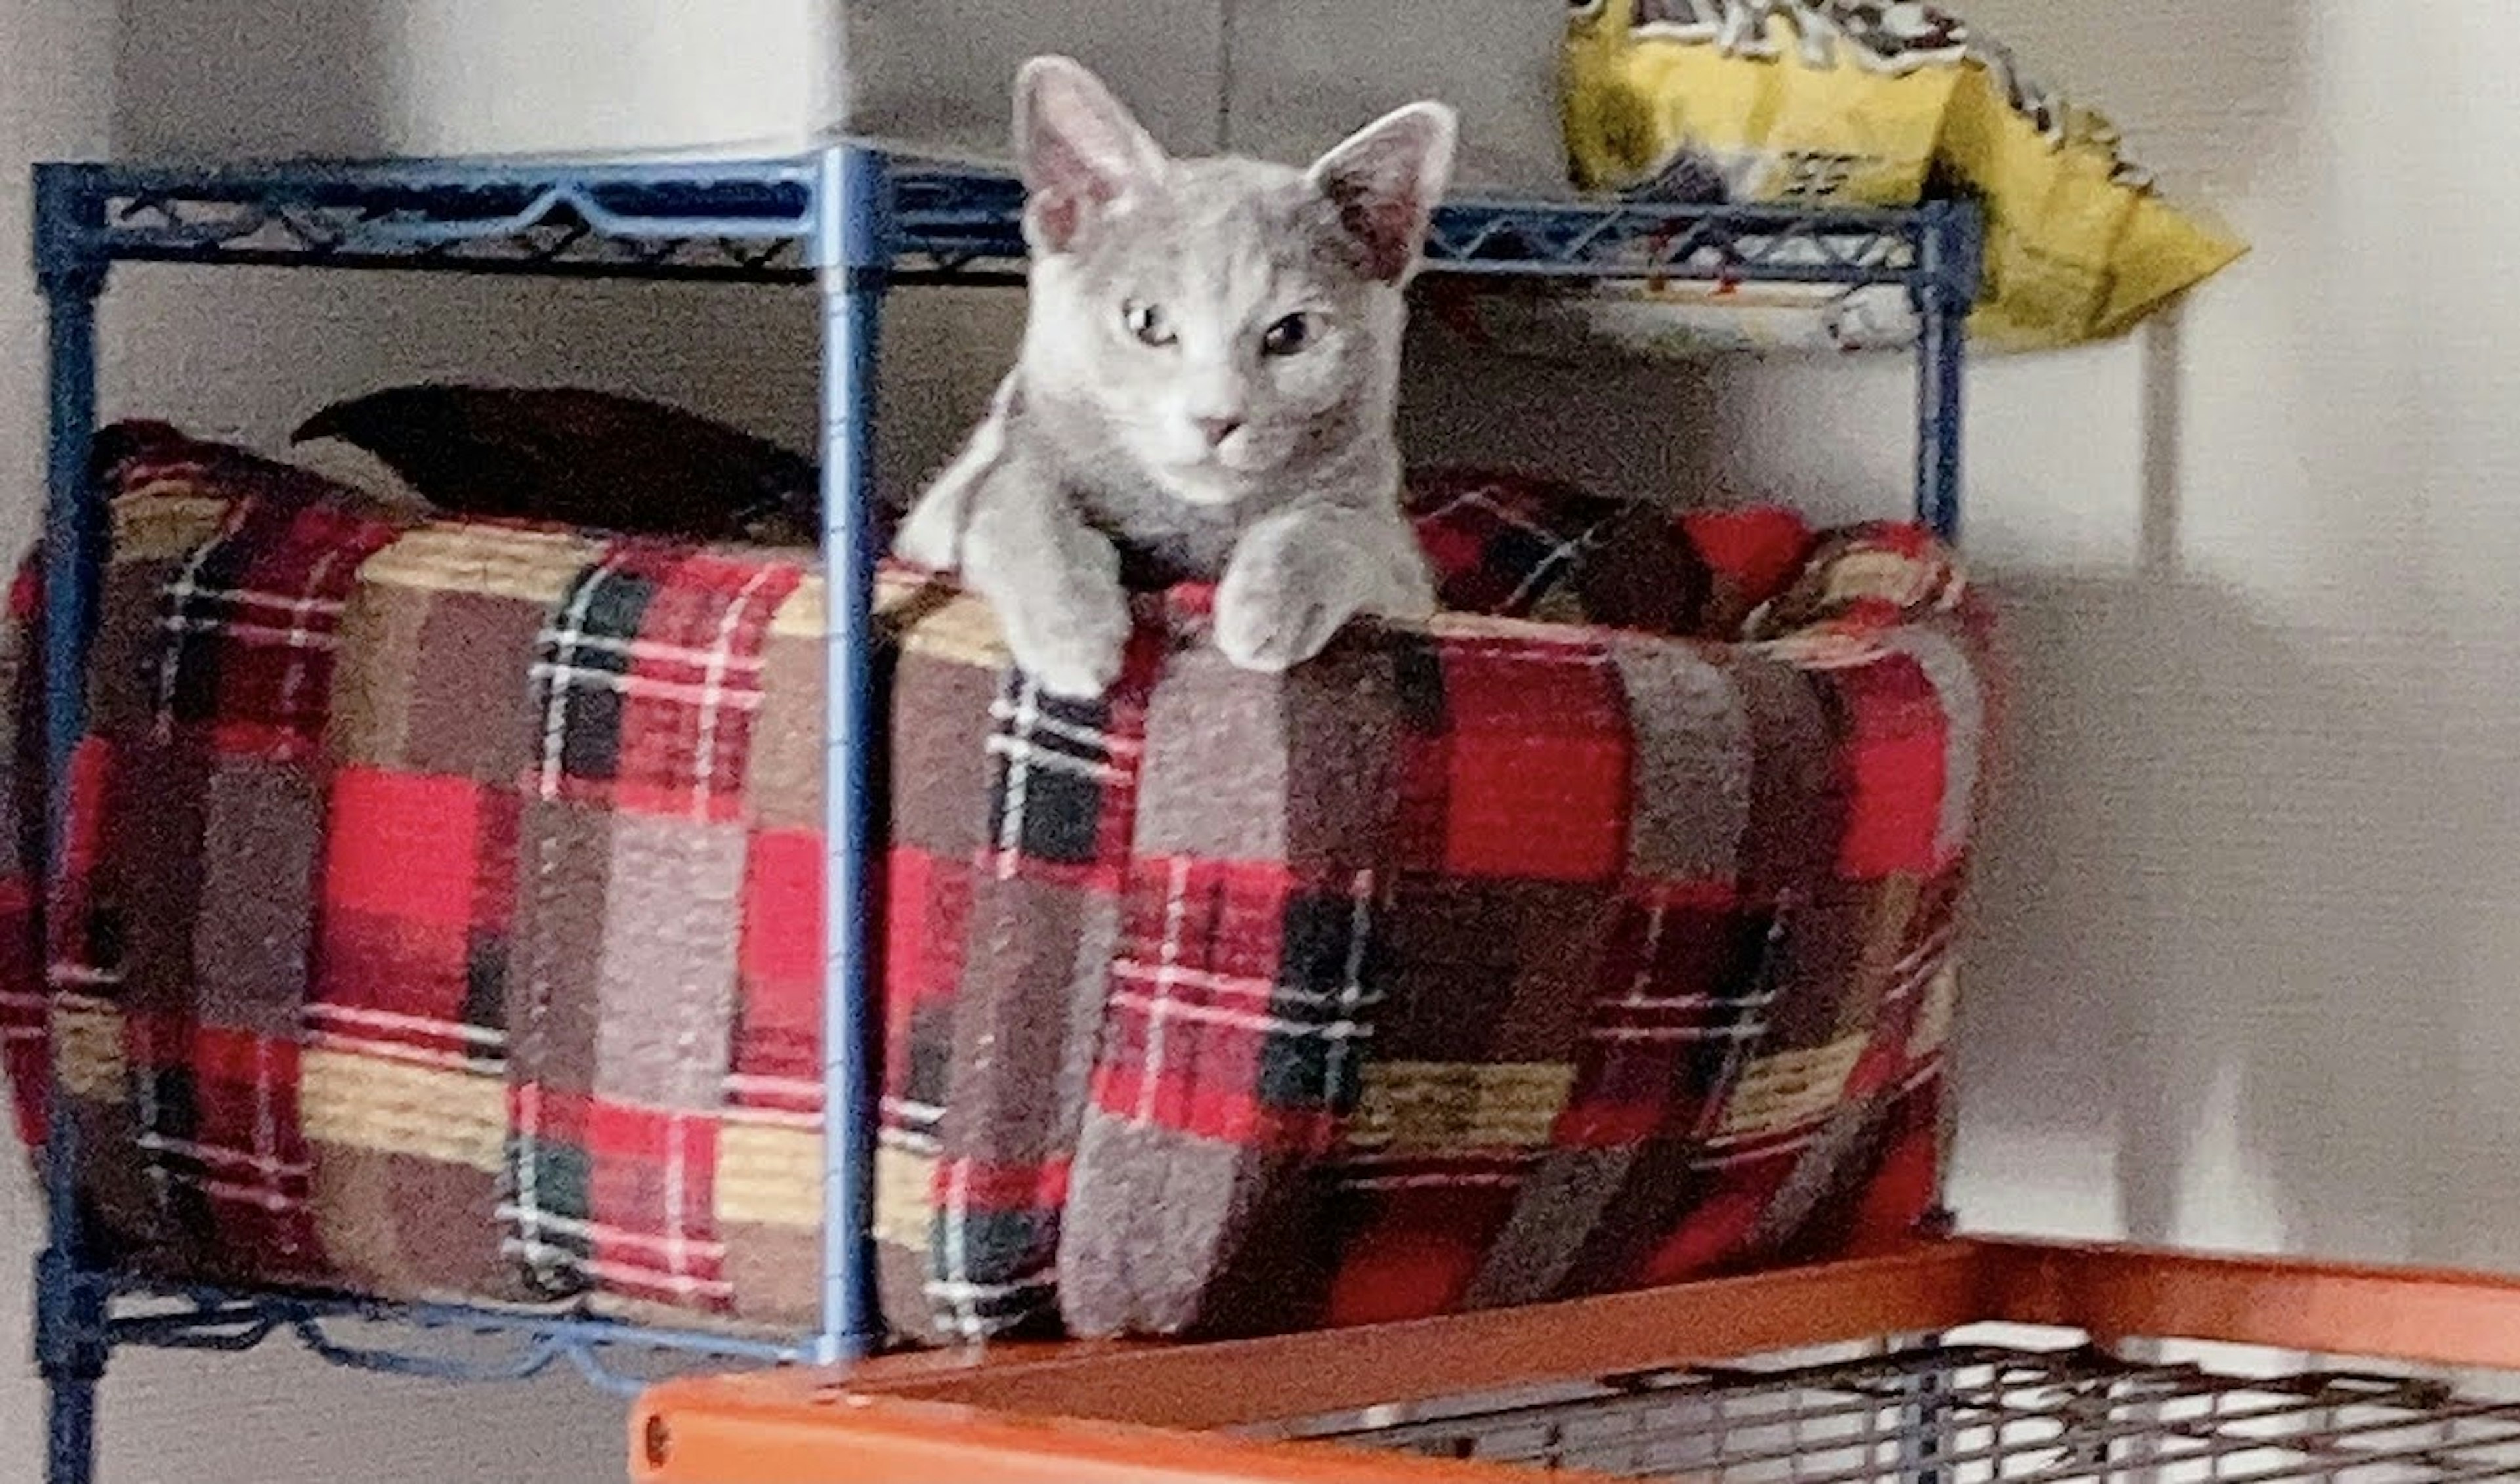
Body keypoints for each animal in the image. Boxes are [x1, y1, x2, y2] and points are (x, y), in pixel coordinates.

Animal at [902, 60, 1461, 695]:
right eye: (1147, 322)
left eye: (1292, 333)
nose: (1215, 418)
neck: (1188, 524)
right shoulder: (967, 487)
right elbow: (1018, 507)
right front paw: (1071, 636)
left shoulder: (1403, 566)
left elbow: (1341, 526)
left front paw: (1269, 607)